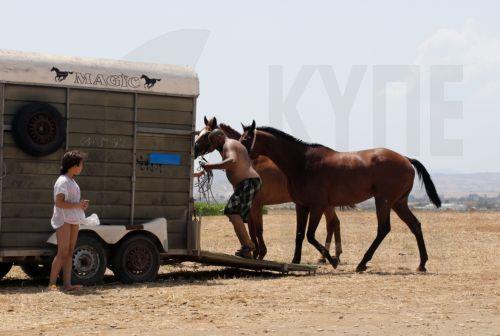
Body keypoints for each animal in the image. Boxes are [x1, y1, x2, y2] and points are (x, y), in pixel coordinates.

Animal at [193, 117, 342, 262]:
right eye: (199, 132)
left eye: (206, 134)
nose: (194, 150)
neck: (252, 161)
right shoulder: (250, 206)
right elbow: (251, 229)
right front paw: (254, 252)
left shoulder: (256, 204)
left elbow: (258, 230)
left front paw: (261, 253)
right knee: (335, 222)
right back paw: (335, 255)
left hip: (324, 204)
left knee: (331, 224)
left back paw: (324, 257)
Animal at [240, 121, 440, 272]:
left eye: (247, 139)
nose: (240, 155)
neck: (303, 162)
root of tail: (406, 159)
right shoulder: (302, 205)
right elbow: (299, 235)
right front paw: (295, 261)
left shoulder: (318, 206)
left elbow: (310, 235)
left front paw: (333, 260)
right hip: (398, 203)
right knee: (415, 225)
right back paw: (422, 264)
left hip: (383, 201)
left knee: (383, 229)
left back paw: (362, 263)